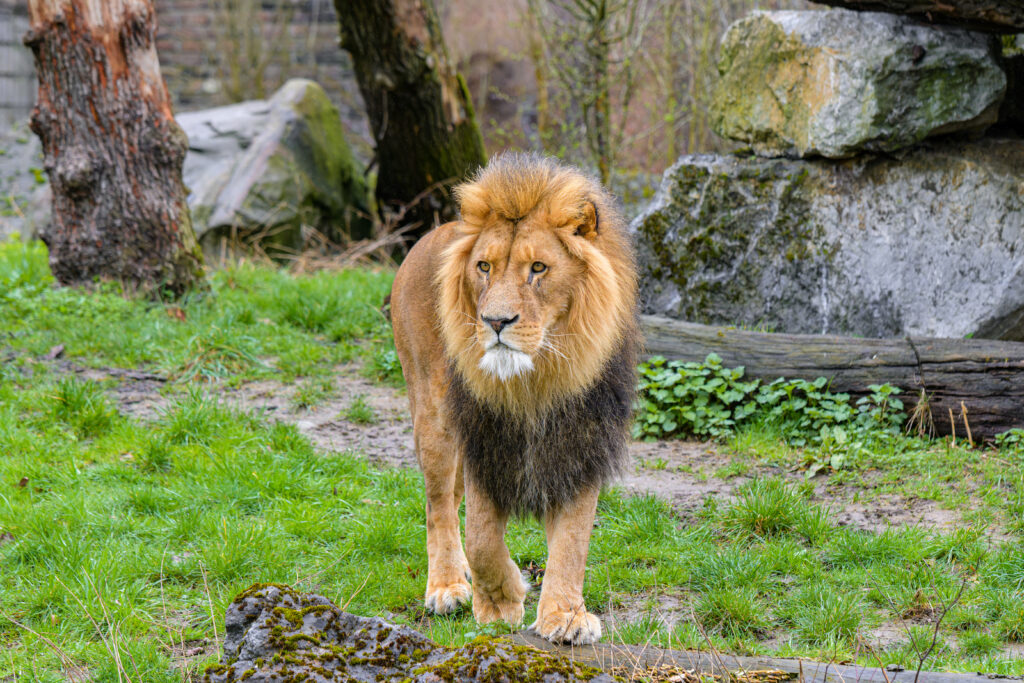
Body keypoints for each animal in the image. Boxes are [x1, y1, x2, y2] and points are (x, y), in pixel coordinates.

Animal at [389, 152, 639, 645]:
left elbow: (572, 540)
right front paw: (501, 603)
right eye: (484, 267)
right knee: (438, 505)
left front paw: (565, 616)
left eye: (538, 268)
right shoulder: (483, 440)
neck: (535, 382)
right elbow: (483, 538)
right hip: (433, 416)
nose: (495, 321)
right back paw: (447, 586)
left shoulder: (581, 443)